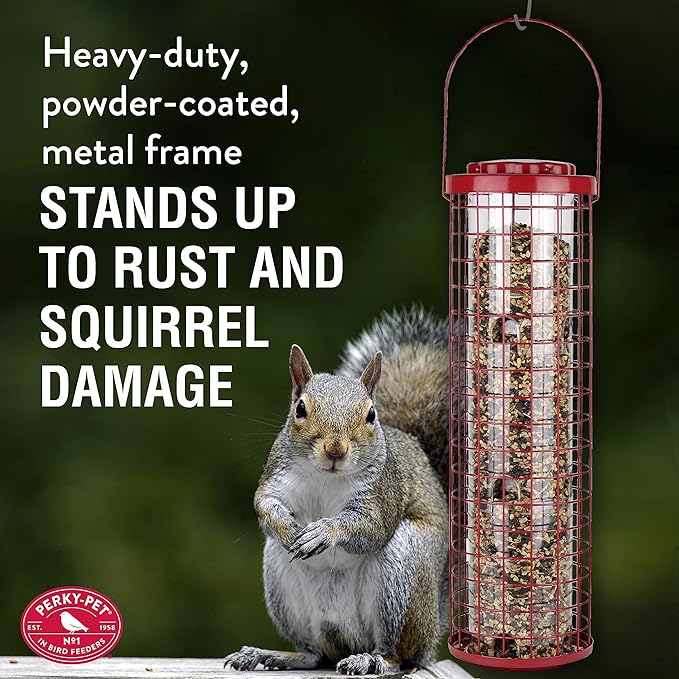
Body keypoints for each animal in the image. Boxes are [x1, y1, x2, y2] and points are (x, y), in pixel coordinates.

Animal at [224, 306, 449, 675]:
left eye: (371, 414)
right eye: (300, 408)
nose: (335, 449)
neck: (325, 477)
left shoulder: (382, 492)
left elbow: (371, 526)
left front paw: (324, 532)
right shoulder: (277, 477)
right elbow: (264, 504)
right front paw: (287, 527)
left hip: (403, 572)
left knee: (400, 655)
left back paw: (373, 660)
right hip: (281, 579)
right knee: (315, 654)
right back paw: (271, 655)